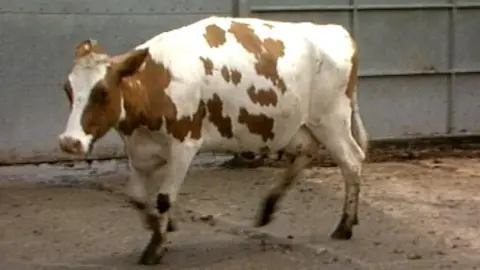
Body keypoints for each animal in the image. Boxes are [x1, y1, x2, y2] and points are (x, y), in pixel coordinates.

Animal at [58, 16, 370, 266]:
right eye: (67, 89)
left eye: (102, 92)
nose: (69, 142)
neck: (152, 85)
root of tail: (336, 31)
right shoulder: (139, 152)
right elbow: (136, 197)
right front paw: (159, 227)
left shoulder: (184, 145)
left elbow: (163, 198)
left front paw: (155, 248)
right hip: (298, 126)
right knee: (308, 151)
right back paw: (268, 208)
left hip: (331, 119)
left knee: (352, 161)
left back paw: (344, 225)